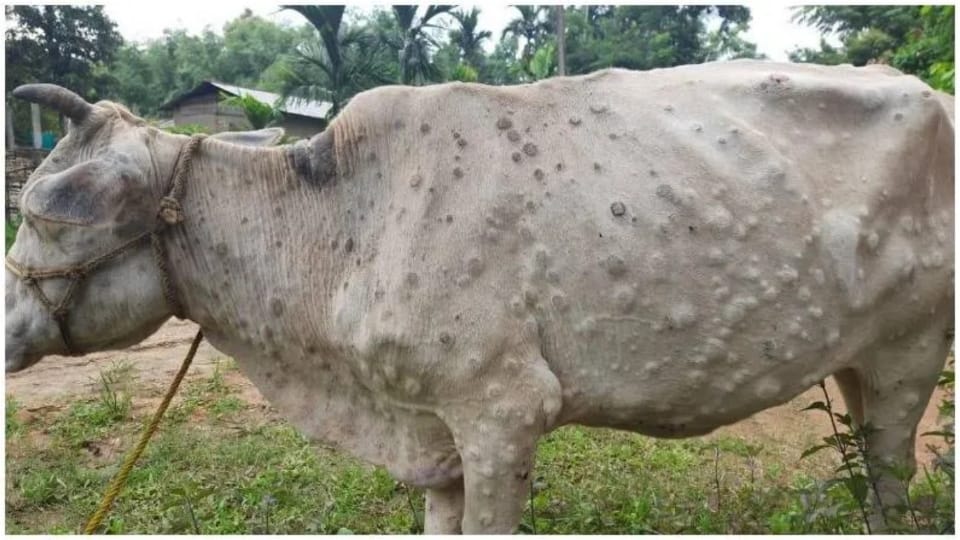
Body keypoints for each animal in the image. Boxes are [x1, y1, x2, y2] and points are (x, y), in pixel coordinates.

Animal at [5, 60, 954, 533]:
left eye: (47, 213)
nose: (6, 330)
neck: (343, 224)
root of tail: (931, 95)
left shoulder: (503, 413)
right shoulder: (436, 434)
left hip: (911, 352)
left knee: (892, 475)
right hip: (855, 361)